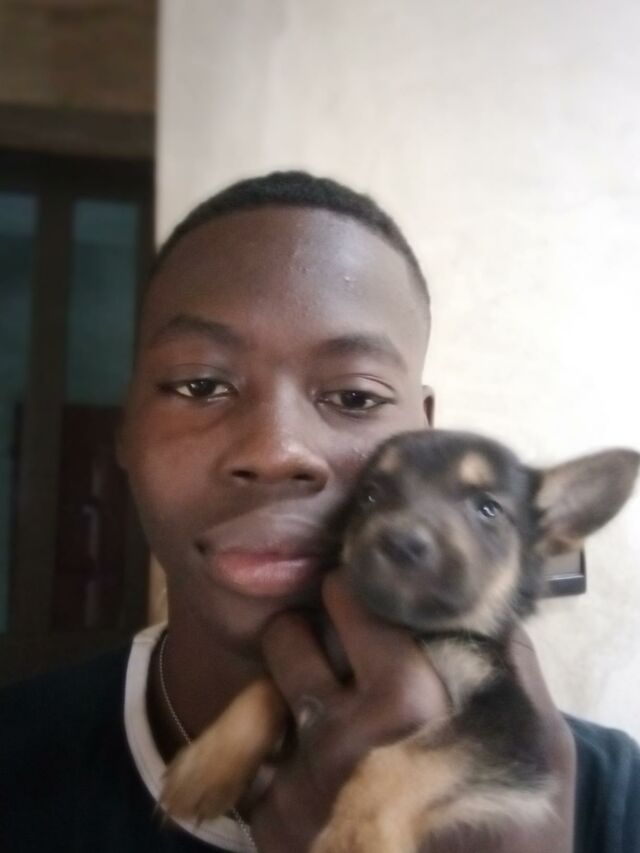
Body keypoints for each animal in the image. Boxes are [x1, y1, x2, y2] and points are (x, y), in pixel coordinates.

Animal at [161, 429, 639, 852]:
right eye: (370, 496)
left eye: (488, 509)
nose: (401, 541)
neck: (415, 629)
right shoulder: (327, 647)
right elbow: (262, 687)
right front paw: (206, 767)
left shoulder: (513, 729)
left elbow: (403, 759)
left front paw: (354, 838)